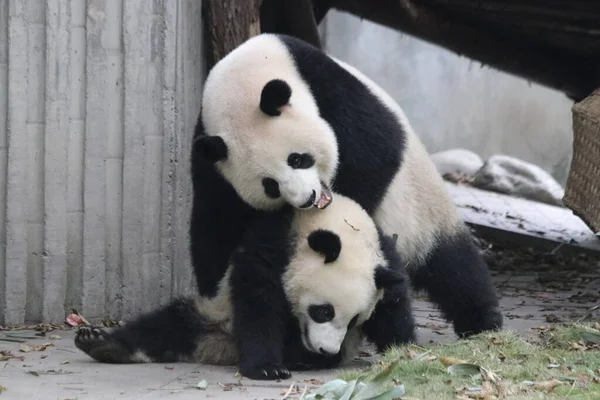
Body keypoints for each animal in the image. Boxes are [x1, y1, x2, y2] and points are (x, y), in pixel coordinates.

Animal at [75, 195, 414, 380]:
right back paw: (101, 343)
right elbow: (258, 302)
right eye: (323, 312)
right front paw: (267, 368)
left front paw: (403, 351)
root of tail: (220, 348)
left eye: (355, 320)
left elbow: (393, 307)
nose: (324, 347)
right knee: (170, 322)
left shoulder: (384, 258)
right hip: (213, 313)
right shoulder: (273, 244)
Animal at [192, 32, 502, 338]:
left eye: (297, 159)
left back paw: (481, 320)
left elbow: (373, 156)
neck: (250, 70)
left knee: (453, 267)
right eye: (270, 186)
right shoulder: (212, 158)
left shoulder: (333, 90)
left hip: (423, 208)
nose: (307, 199)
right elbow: (216, 221)